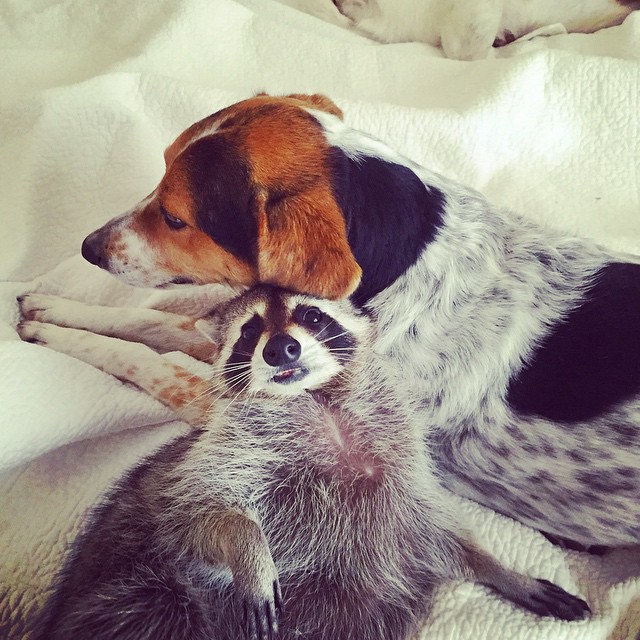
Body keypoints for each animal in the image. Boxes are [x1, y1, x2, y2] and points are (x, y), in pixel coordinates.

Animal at [17, 92, 640, 552]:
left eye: (175, 218)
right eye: (160, 171)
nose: (88, 247)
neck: (401, 264)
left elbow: (143, 357)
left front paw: (50, 333)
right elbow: (143, 323)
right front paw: (50, 308)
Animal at [31, 286, 592, 640]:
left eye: (314, 317)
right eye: (250, 330)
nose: (281, 348)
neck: (321, 403)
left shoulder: (404, 474)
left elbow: (441, 533)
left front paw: (500, 570)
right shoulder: (224, 451)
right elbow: (194, 507)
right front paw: (249, 548)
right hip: (140, 587)